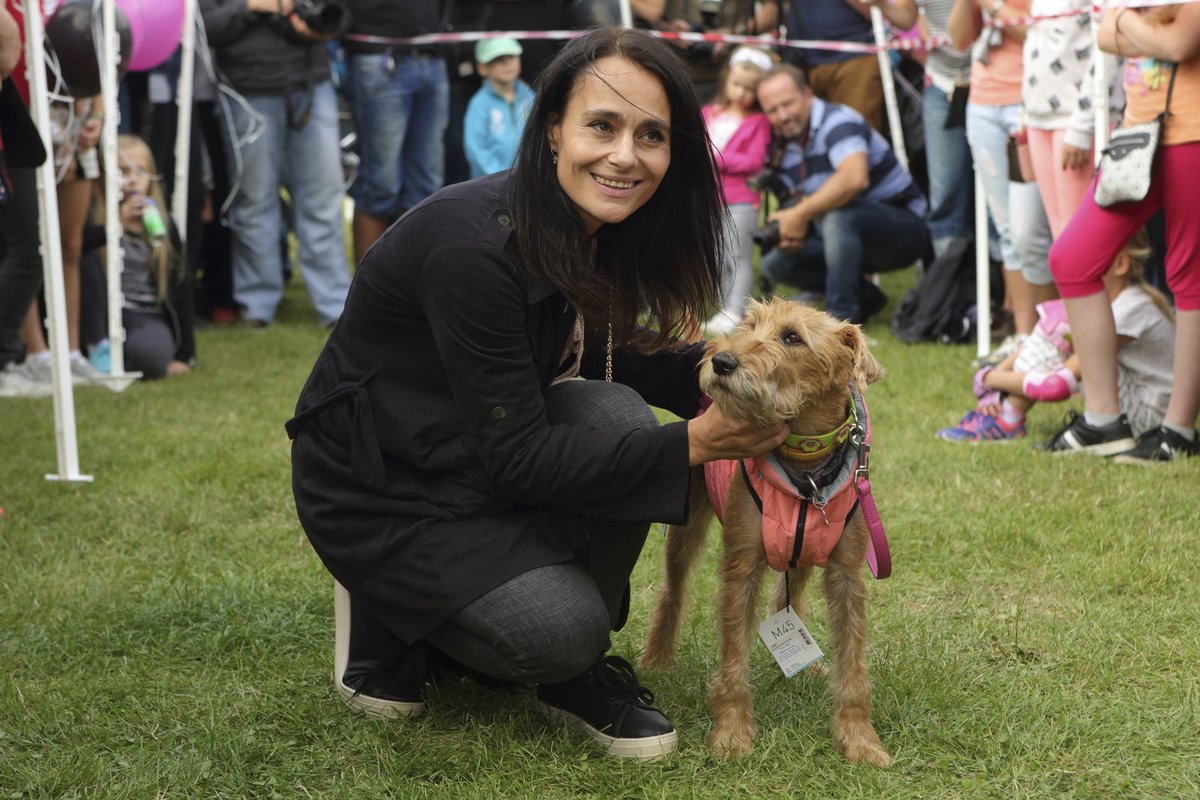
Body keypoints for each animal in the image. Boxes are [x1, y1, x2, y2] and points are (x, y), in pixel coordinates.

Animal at [643, 297, 888, 767]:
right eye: (750, 324)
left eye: (792, 337)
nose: (720, 360)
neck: (806, 468)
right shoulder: (741, 565)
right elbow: (733, 659)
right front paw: (732, 733)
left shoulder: (846, 573)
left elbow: (854, 666)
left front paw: (860, 740)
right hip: (688, 525)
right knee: (673, 590)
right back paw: (658, 658)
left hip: (808, 552)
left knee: (788, 598)